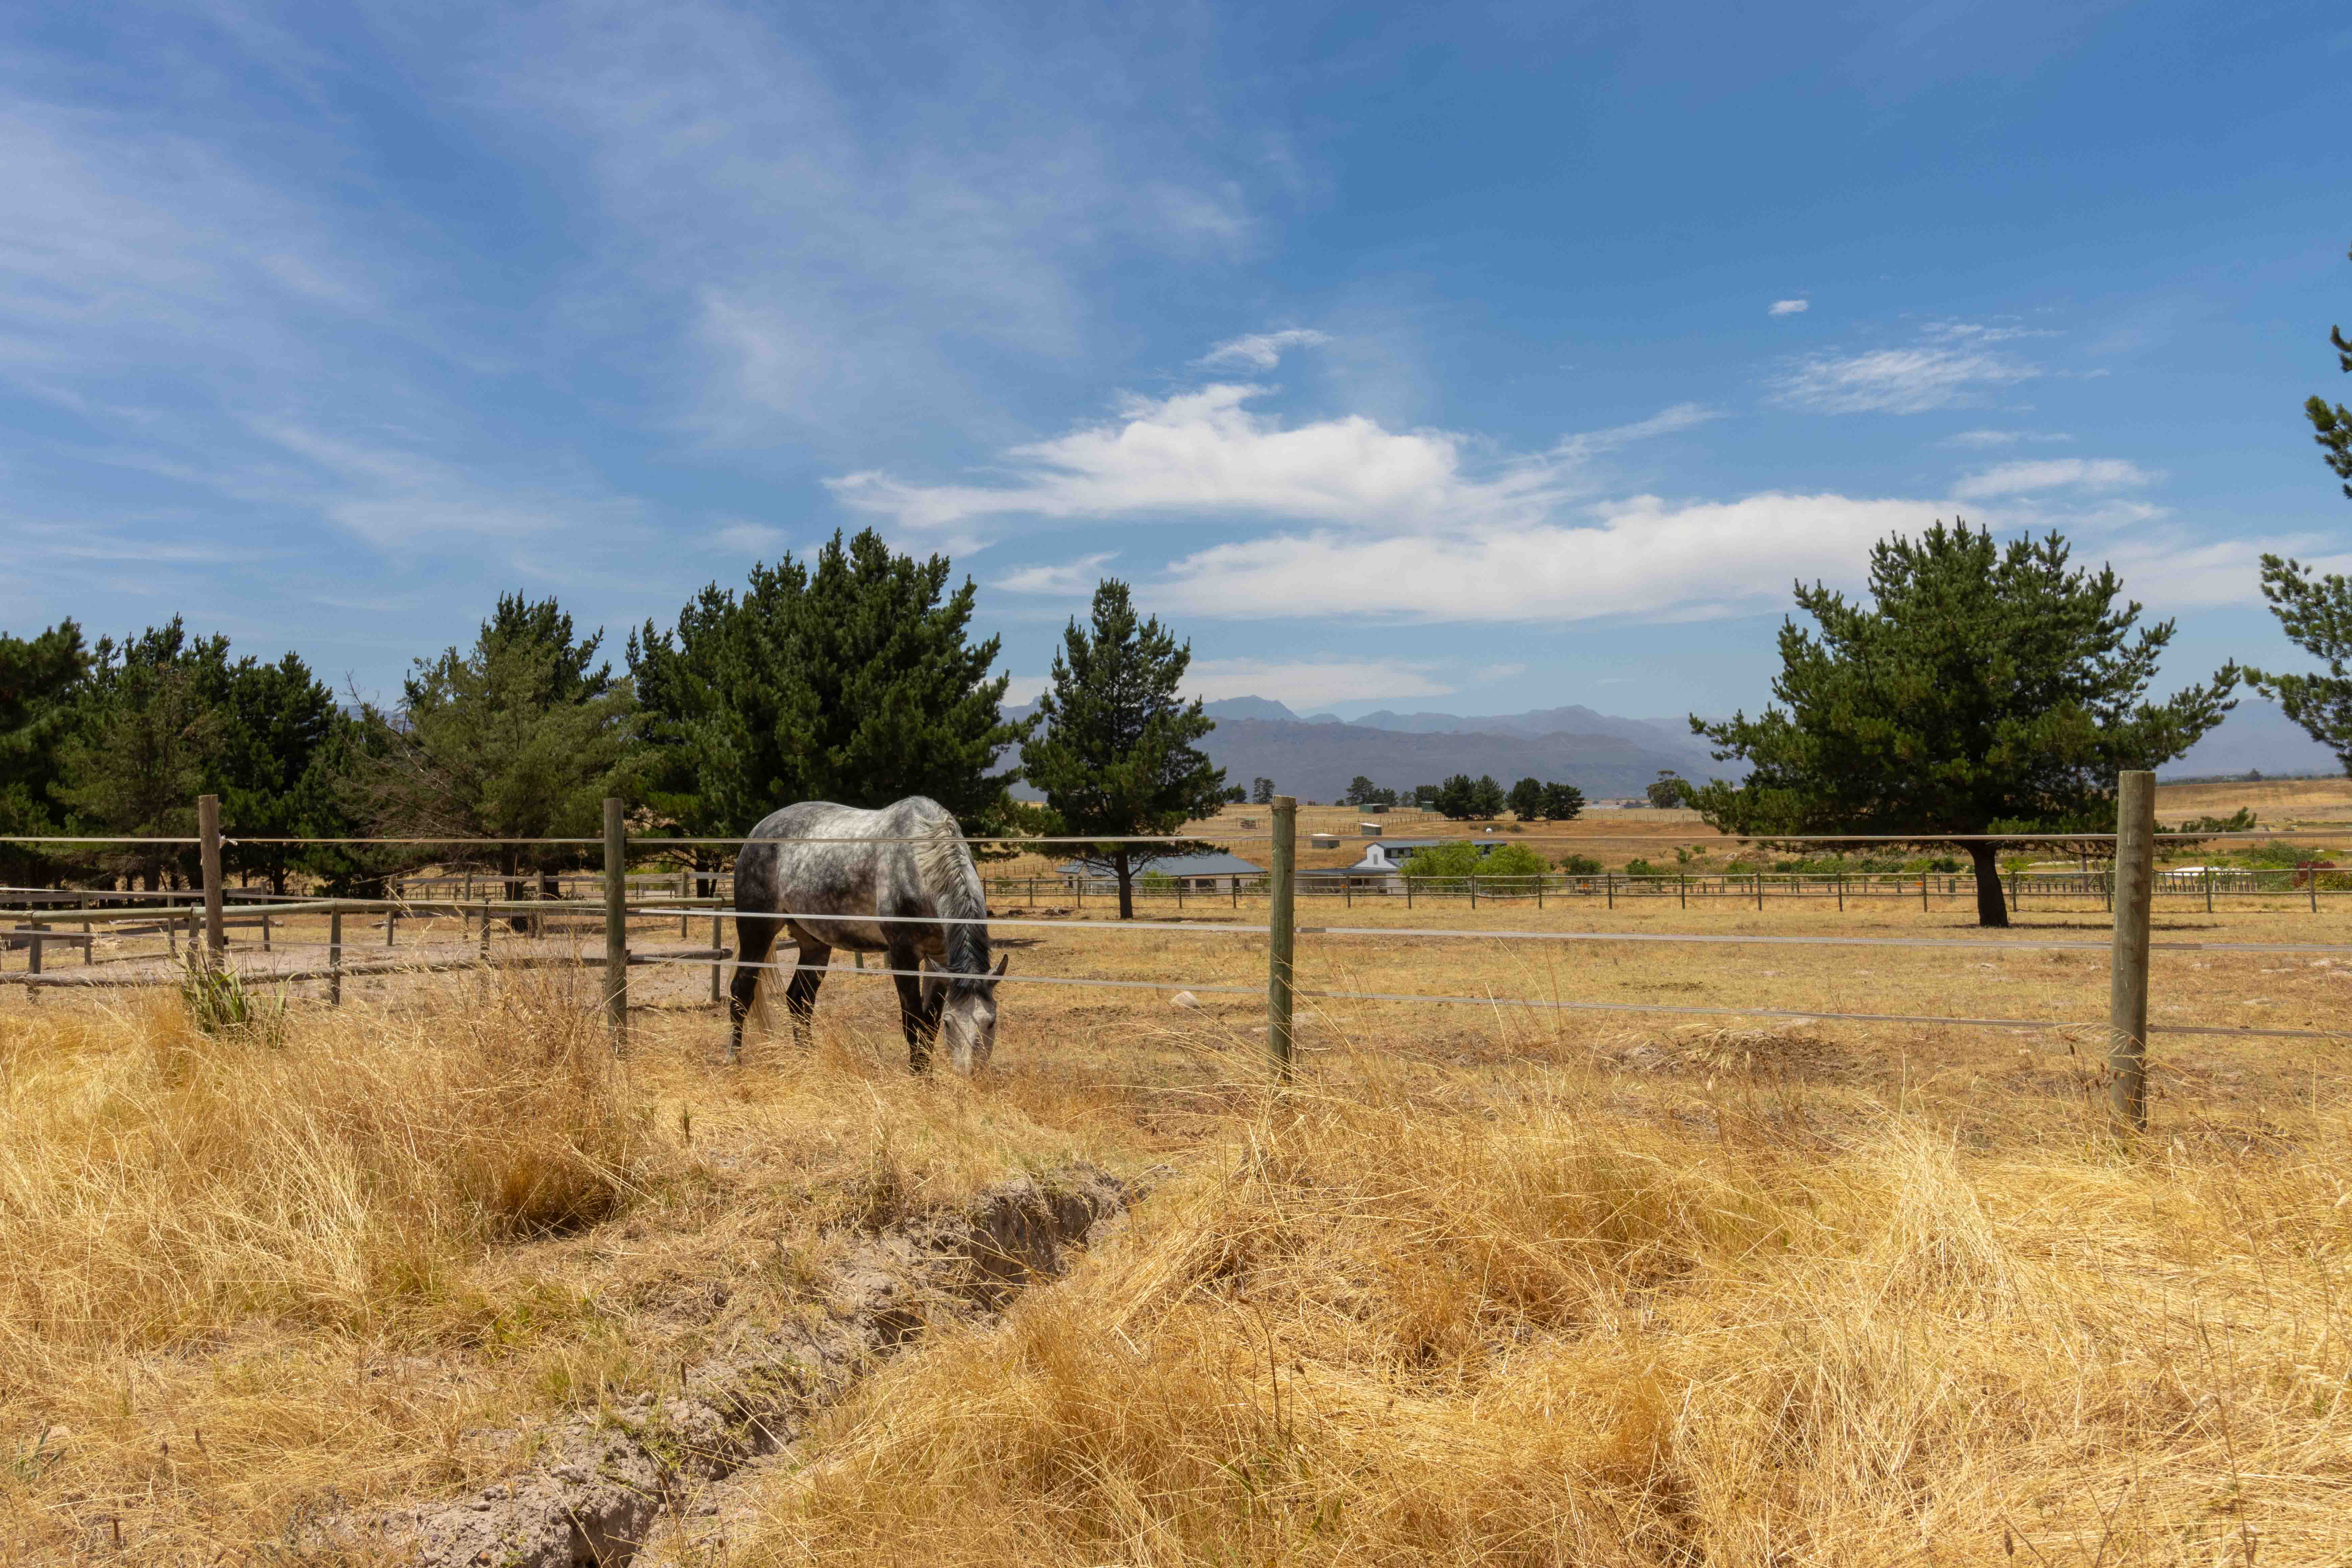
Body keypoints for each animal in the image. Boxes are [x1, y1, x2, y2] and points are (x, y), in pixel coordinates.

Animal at [727, 796, 1006, 1072]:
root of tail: (758, 831)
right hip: (757, 931)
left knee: (799, 999)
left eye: (991, 1022)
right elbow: (913, 1022)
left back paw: (807, 1061)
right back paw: (734, 1061)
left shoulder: (940, 959)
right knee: (741, 992)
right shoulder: (903, 955)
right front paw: (920, 1078)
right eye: (951, 1023)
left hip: (814, 944)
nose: (969, 1075)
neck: (920, 859)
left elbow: (928, 1025)